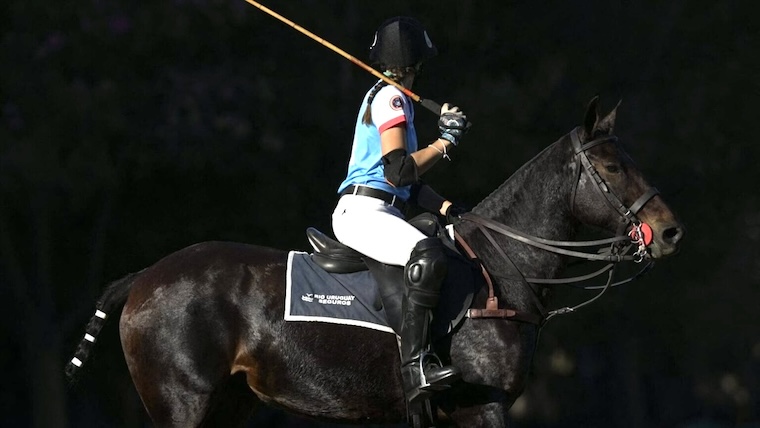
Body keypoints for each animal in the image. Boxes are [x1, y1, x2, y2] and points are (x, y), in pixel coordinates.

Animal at [66, 97, 684, 427]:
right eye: (612, 167)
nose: (670, 231)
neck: (502, 269)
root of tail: (141, 279)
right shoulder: (479, 407)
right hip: (182, 401)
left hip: (230, 404)